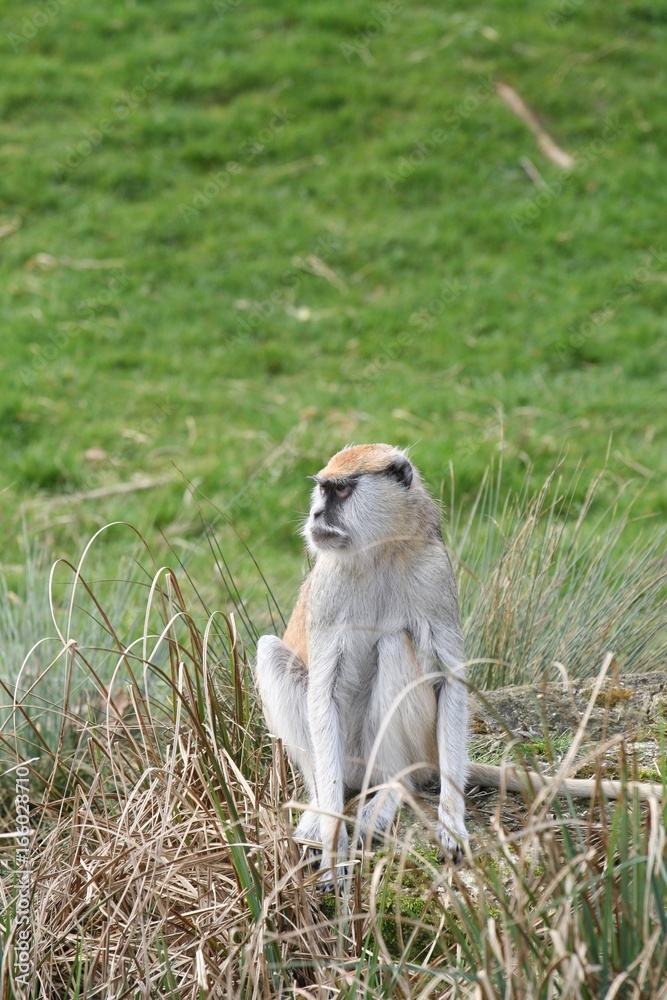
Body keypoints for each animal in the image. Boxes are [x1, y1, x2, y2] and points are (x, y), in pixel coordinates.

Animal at [255, 444, 664, 886]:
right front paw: (332, 840)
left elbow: (451, 682)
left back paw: (393, 788)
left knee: (395, 646)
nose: (316, 515)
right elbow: (323, 691)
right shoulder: (330, 587)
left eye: (341, 492)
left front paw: (451, 821)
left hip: (410, 749)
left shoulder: (435, 575)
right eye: (323, 490)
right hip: (348, 758)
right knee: (271, 653)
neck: (382, 551)